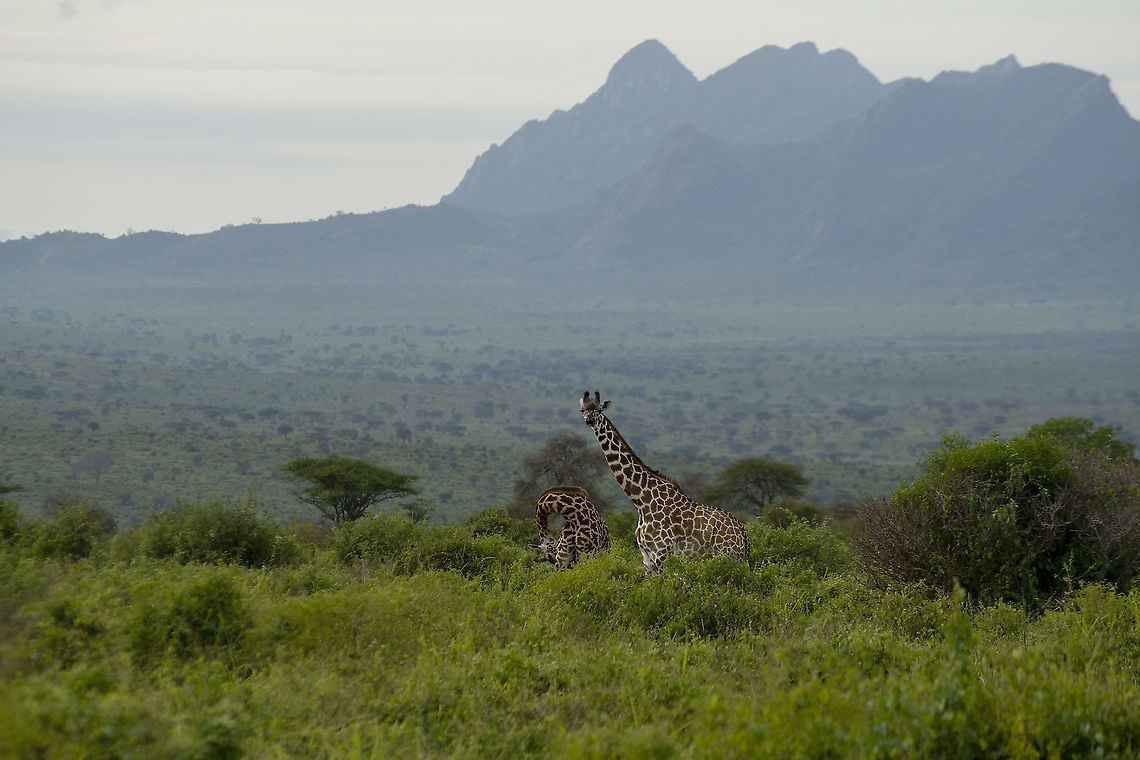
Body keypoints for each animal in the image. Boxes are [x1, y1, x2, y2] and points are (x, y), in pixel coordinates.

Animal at [579, 391, 750, 575]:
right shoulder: (646, 557)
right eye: (582, 410)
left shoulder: (661, 552)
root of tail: (743, 533)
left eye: (599, 410)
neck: (641, 500)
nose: (589, 420)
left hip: (728, 554)